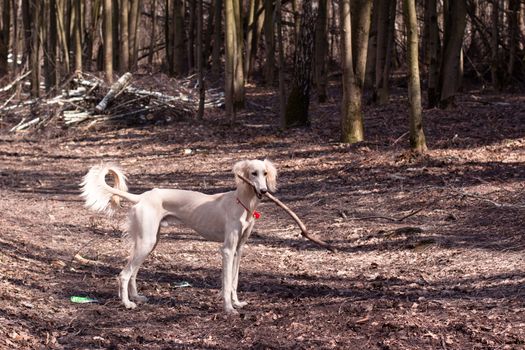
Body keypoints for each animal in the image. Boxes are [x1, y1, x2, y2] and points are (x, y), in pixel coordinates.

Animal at [80, 160, 276, 314]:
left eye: (265, 173)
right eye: (253, 173)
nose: (264, 191)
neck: (241, 203)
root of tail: (142, 196)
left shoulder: (238, 249)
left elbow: (234, 281)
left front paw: (237, 303)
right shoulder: (227, 250)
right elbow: (227, 282)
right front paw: (228, 308)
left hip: (149, 241)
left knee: (133, 271)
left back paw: (135, 297)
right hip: (147, 242)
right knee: (124, 274)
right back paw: (127, 303)